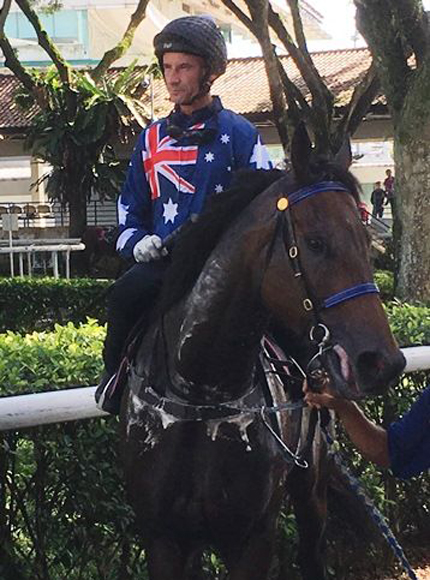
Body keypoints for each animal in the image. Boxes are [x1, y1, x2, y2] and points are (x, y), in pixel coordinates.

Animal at [118, 127, 406, 580]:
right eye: (316, 242)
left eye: (365, 239)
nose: (381, 362)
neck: (200, 393)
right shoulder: (163, 536)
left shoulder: (252, 537)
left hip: (312, 486)